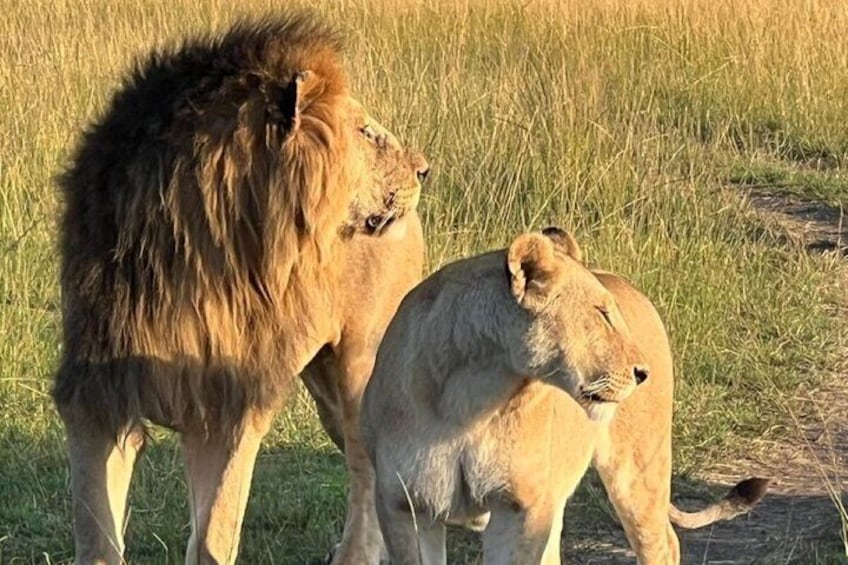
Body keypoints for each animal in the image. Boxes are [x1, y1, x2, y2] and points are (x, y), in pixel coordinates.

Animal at [52, 13, 428, 564]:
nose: (424, 170)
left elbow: (214, 534)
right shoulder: (97, 395)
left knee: (370, 467)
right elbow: (96, 533)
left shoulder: (228, 405)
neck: (200, 257)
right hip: (324, 391)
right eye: (363, 131)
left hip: (362, 366)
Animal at [358, 229, 769, 564]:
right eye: (602, 313)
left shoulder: (521, 507)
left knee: (663, 543)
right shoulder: (404, 505)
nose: (642, 373)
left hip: (639, 471)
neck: (470, 395)